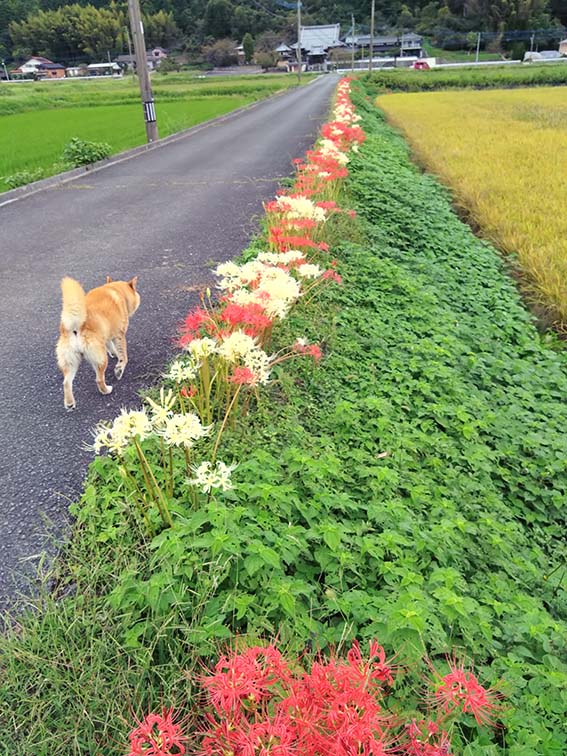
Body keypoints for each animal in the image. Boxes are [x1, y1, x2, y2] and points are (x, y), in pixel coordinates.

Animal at [55, 276, 141, 410]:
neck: (117, 291)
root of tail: (75, 326)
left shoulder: (107, 336)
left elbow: (111, 347)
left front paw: (114, 354)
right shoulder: (119, 335)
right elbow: (123, 356)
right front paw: (119, 368)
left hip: (70, 362)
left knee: (66, 383)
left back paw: (69, 403)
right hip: (100, 359)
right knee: (99, 379)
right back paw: (106, 390)